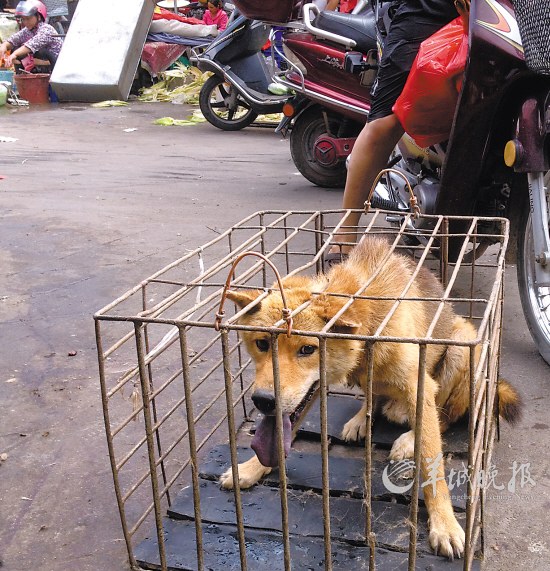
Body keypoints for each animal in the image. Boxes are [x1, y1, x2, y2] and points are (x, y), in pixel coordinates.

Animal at [220, 236, 520, 560]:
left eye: (307, 349)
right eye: (262, 344)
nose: (263, 401)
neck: (369, 329)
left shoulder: (419, 385)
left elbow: (433, 459)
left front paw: (444, 524)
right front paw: (252, 467)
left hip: (460, 346)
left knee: (444, 416)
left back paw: (408, 439)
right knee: (375, 398)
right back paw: (361, 420)